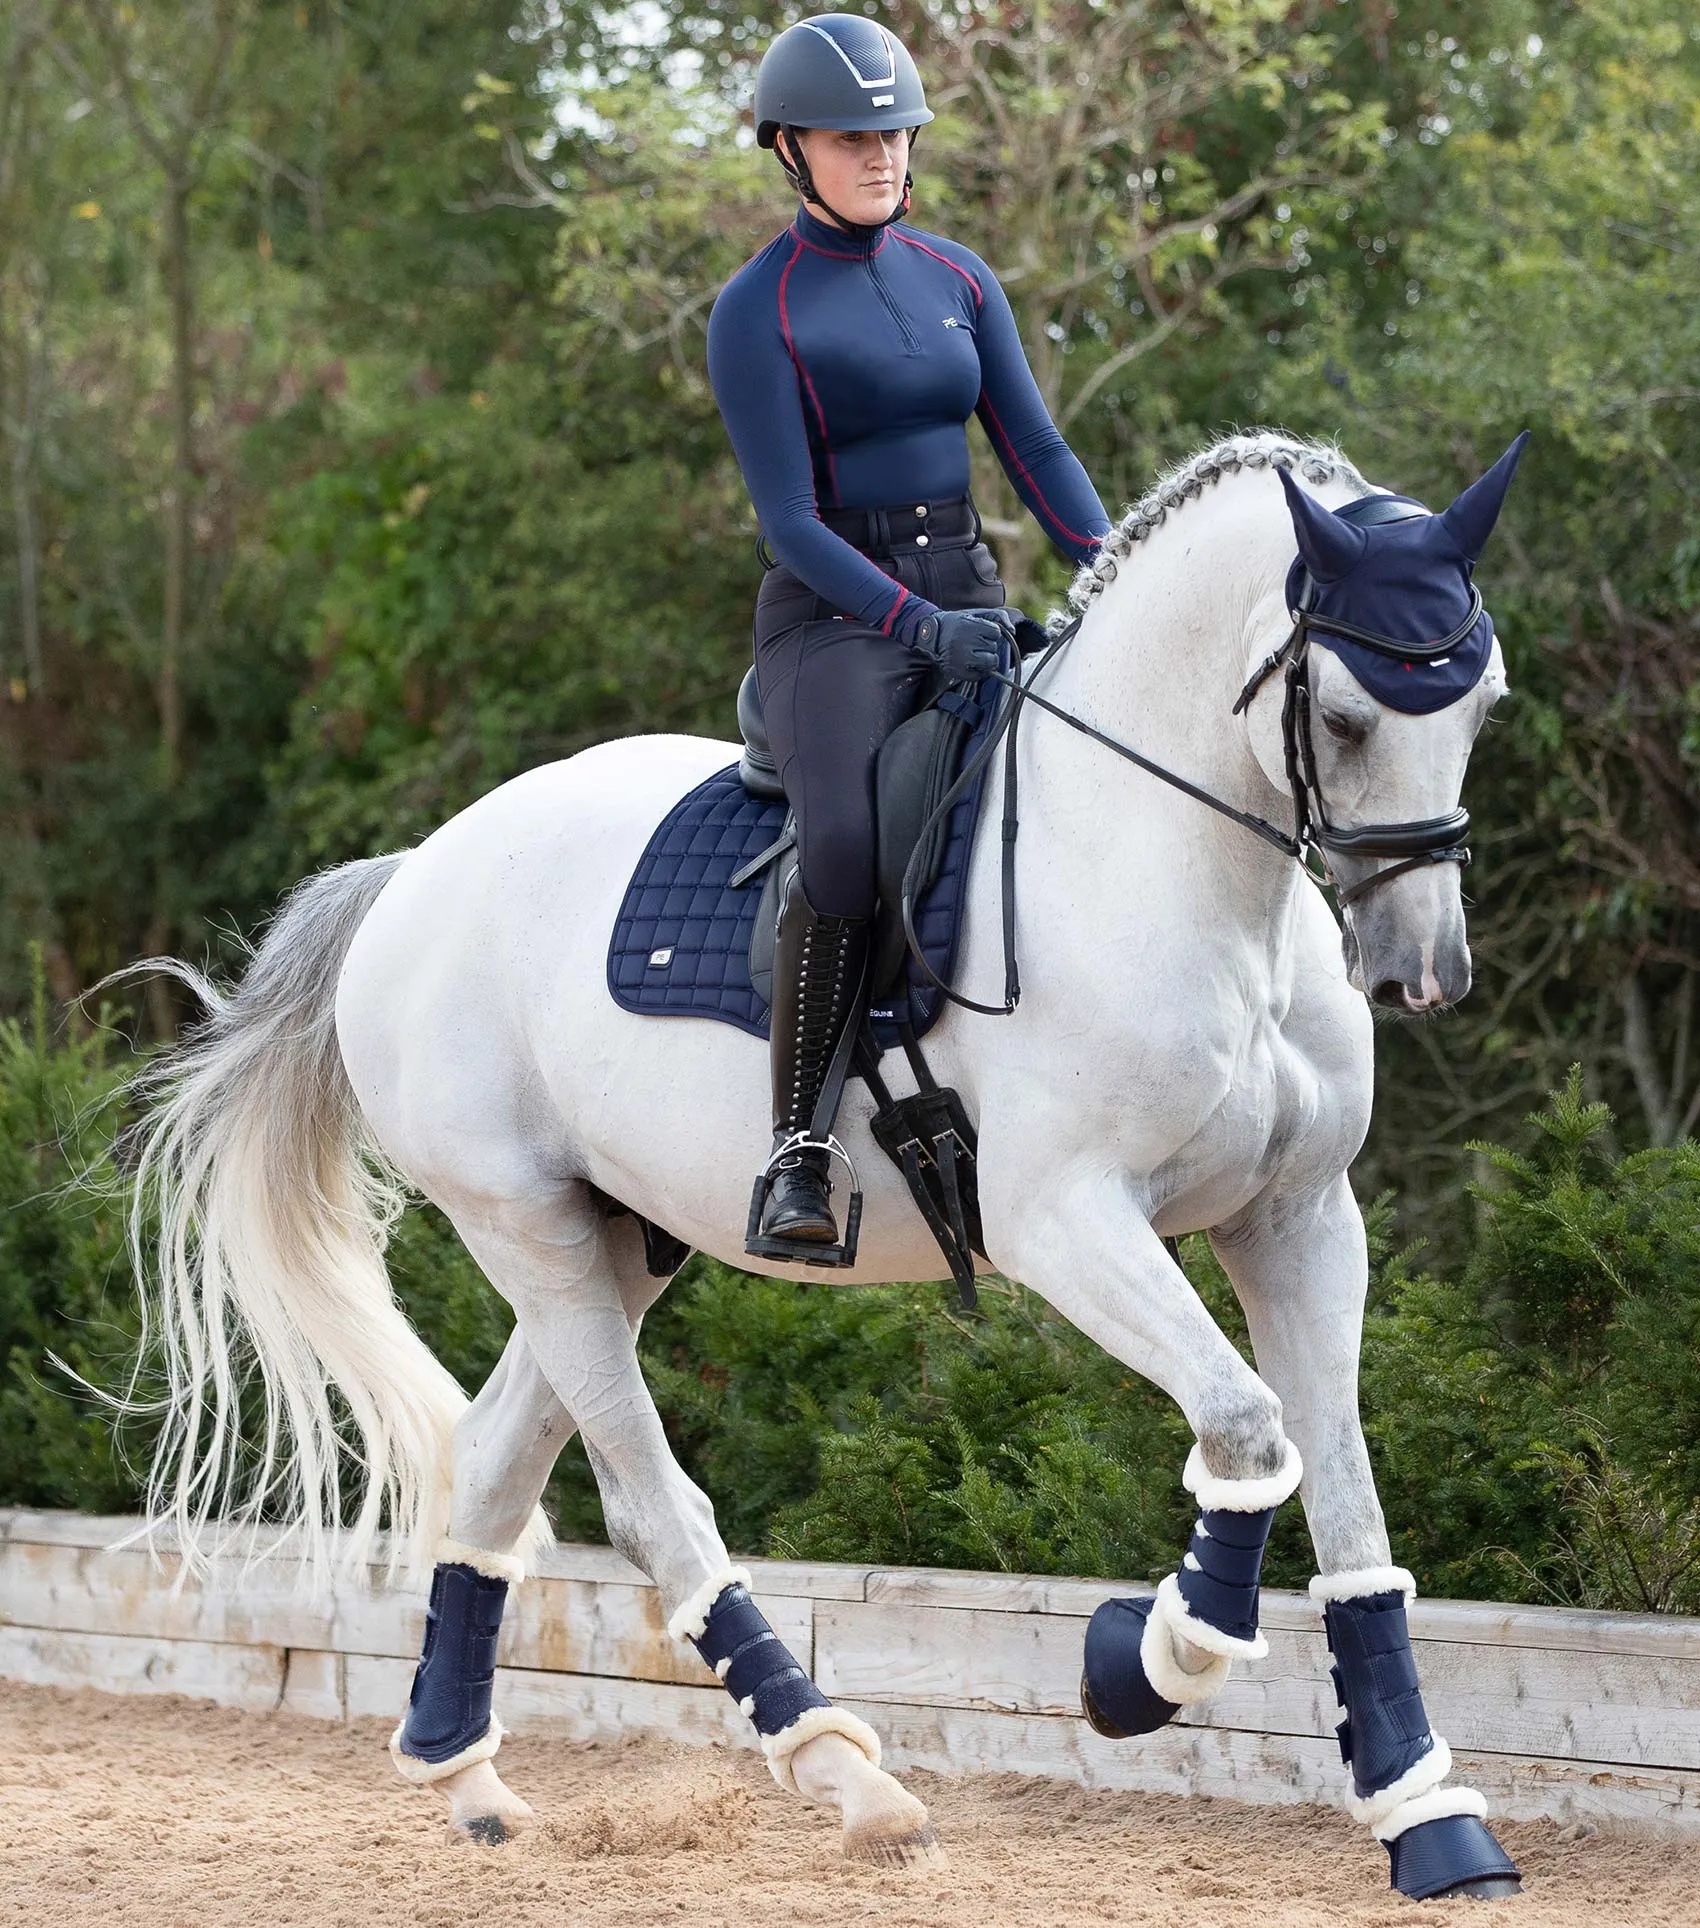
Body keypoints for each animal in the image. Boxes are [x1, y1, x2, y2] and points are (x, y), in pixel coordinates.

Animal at [122, 433, 1526, 1897]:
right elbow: (1248, 1429)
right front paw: (1143, 1665)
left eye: (1480, 703)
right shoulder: (1065, 1219)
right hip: (525, 1227)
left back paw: (468, 1780)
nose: (1422, 972)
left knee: (498, 1462)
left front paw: (1428, 1814)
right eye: (1351, 720)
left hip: (614, 1235)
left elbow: (1349, 1502)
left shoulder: (1298, 1217)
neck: (1173, 870)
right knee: (654, 1505)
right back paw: (850, 1779)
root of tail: (413, 876)